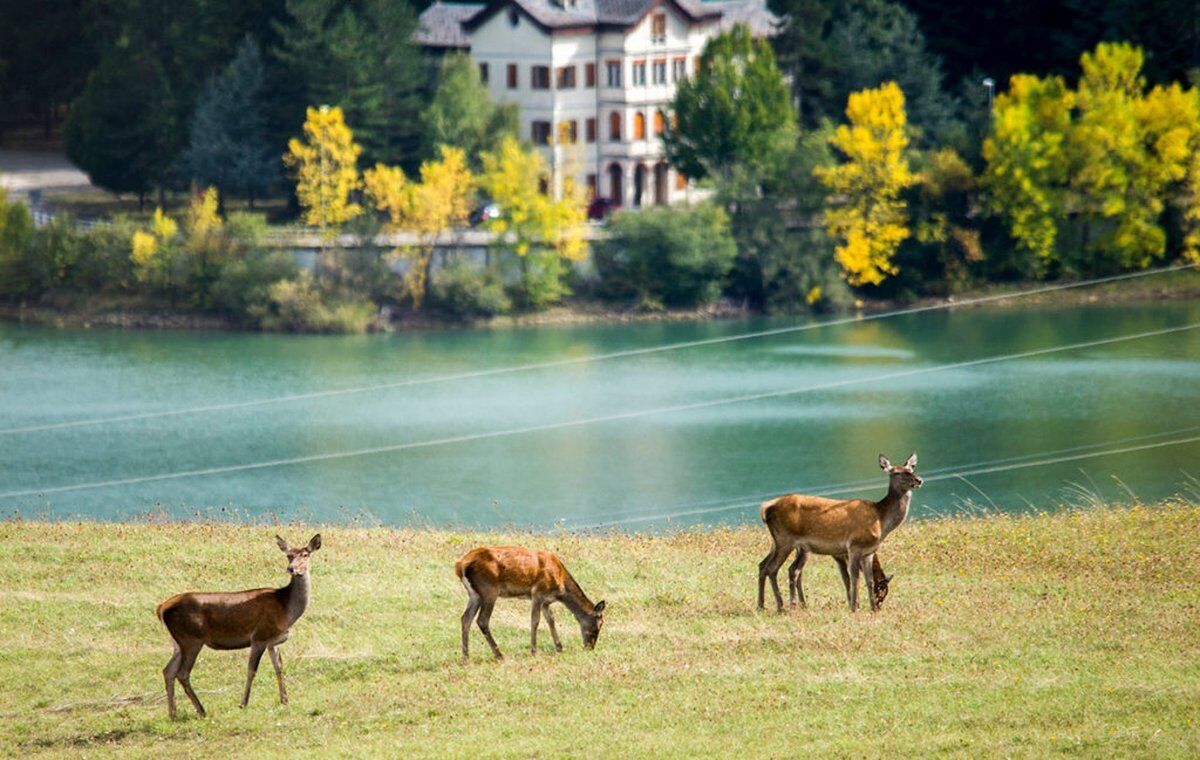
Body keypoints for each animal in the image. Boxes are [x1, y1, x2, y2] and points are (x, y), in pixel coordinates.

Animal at [156, 530, 324, 715]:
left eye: (305, 554)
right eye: (289, 555)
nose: (291, 568)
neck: (286, 608)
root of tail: (161, 608)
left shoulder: (273, 641)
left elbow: (278, 666)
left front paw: (285, 699)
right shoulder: (259, 636)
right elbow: (251, 670)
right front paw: (243, 703)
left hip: (178, 643)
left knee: (168, 670)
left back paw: (173, 713)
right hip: (191, 640)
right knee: (182, 673)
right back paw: (201, 710)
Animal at [453, 545, 604, 657]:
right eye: (598, 625)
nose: (590, 647)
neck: (560, 586)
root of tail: (460, 565)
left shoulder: (546, 601)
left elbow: (551, 620)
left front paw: (559, 647)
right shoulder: (537, 592)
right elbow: (535, 621)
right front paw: (534, 651)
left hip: (474, 594)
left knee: (465, 618)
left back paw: (466, 656)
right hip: (489, 590)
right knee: (482, 620)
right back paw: (499, 654)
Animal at [758, 453, 916, 614]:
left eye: (911, 469)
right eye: (896, 472)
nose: (919, 480)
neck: (880, 519)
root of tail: (766, 508)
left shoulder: (868, 552)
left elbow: (869, 580)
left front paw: (872, 609)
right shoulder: (853, 547)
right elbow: (853, 578)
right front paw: (854, 607)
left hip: (778, 542)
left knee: (764, 565)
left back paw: (762, 605)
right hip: (785, 540)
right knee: (773, 569)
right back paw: (781, 606)